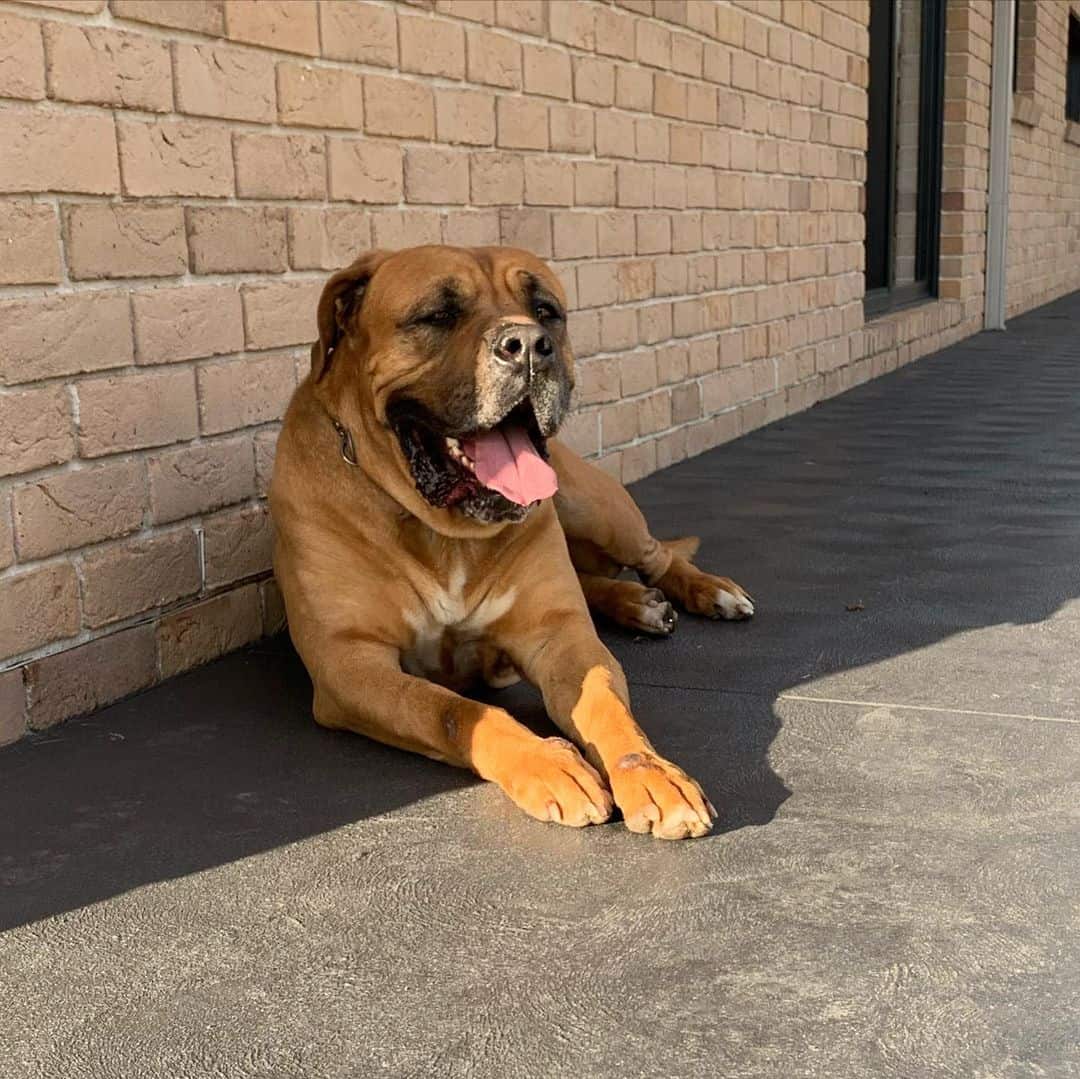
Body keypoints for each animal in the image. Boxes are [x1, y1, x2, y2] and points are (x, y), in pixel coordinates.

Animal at [272, 247, 751, 842]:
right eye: (438, 315)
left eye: (546, 311)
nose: (528, 345)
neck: (445, 533)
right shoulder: (349, 664)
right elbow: (451, 710)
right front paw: (547, 762)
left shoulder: (561, 638)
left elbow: (608, 707)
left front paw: (651, 772)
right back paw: (636, 603)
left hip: (593, 503)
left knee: (655, 555)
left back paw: (701, 592)